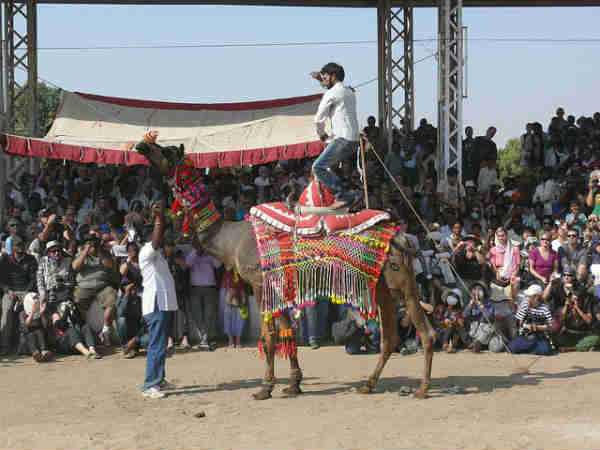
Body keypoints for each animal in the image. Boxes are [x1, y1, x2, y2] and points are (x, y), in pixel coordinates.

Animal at [136, 140, 436, 398]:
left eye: (167, 150)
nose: (142, 145)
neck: (230, 239)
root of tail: (401, 237)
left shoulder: (260, 283)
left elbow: (269, 336)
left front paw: (265, 388)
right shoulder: (277, 286)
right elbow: (286, 332)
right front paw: (293, 384)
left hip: (403, 283)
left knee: (425, 332)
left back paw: (421, 389)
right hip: (384, 288)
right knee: (391, 337)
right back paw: (368, 384)